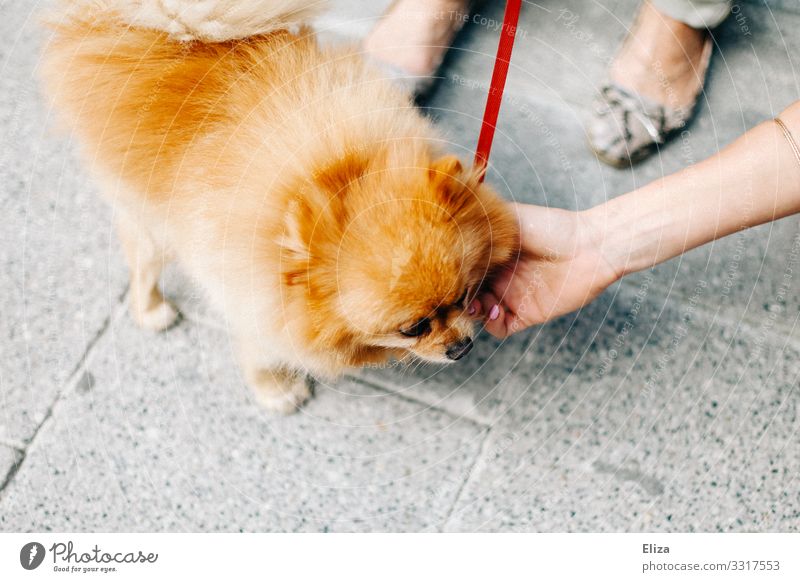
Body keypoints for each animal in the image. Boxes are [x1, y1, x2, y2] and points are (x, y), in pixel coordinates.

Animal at [42, 0, 520, 416]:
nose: (461, 347)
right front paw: (277, 392)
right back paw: (151, 310)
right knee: (140, 260)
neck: (338, 170)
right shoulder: (255, 298)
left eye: (464, 296)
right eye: (413, 328)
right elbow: (262, 354)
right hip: (150, 217)